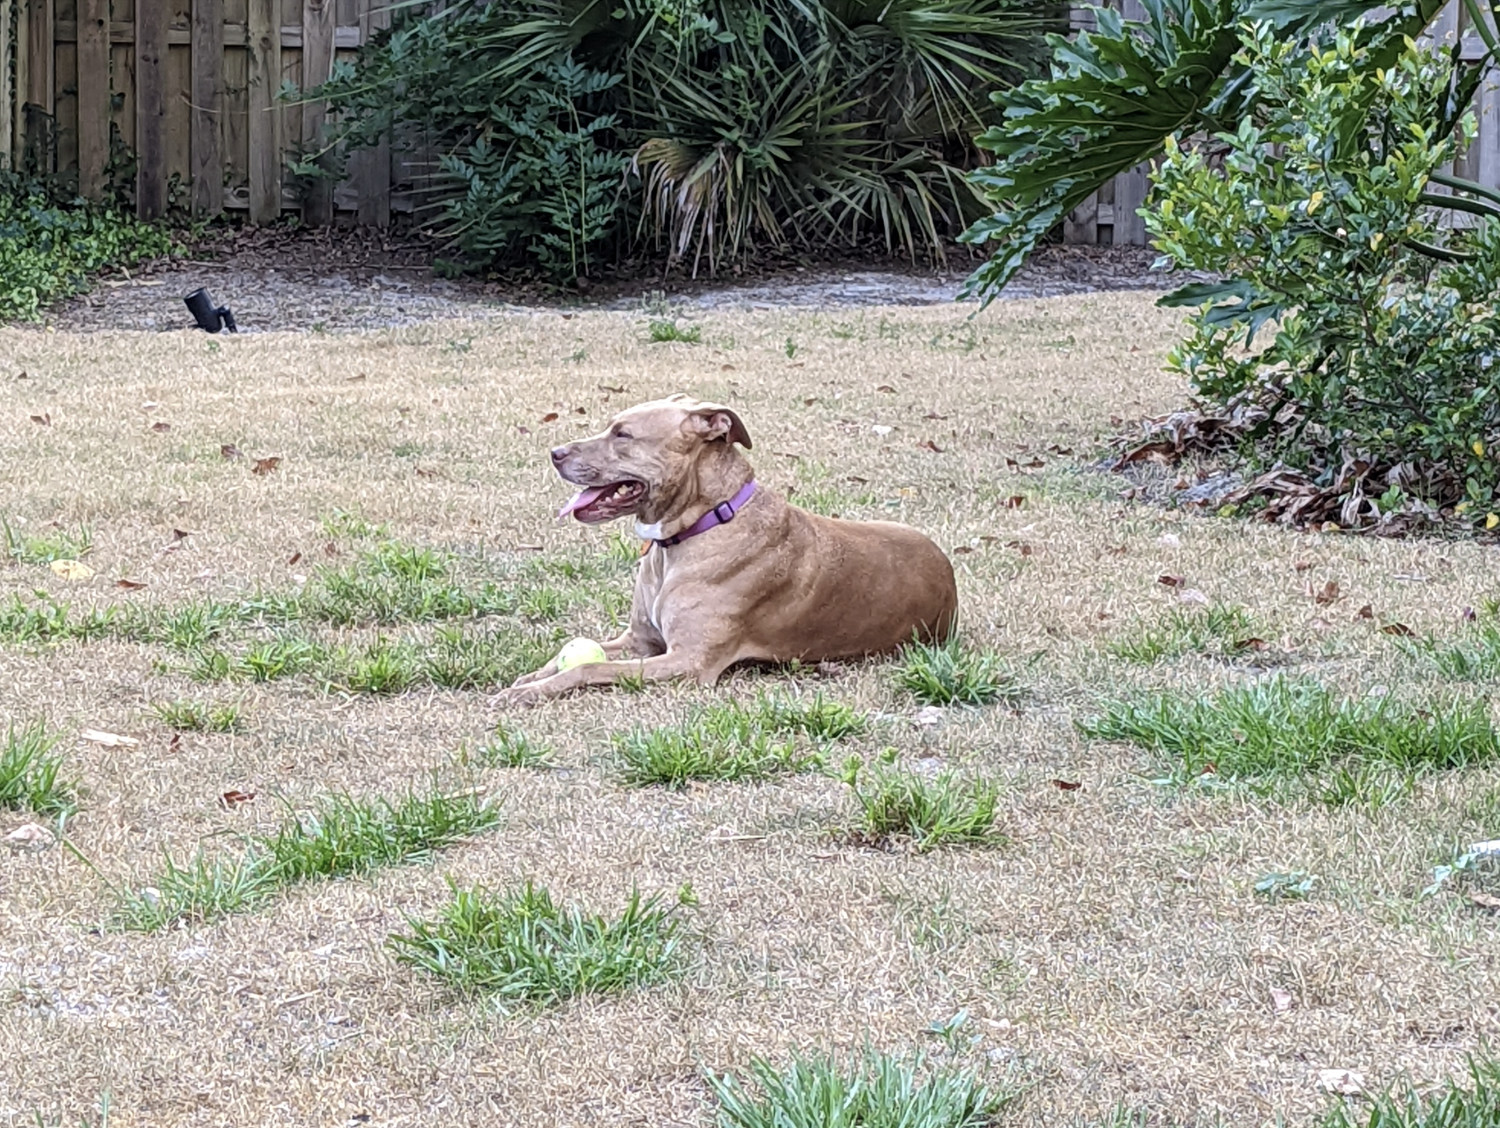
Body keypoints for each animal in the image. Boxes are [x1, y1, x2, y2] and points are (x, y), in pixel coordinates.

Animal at [498, 393, 954, 702]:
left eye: (623, 434)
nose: (555, 453)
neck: (699, 524)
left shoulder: (687, 661)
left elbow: (589, 666)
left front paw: (531, 691)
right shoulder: (640, 641)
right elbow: (568, 652)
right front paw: (532, 677)